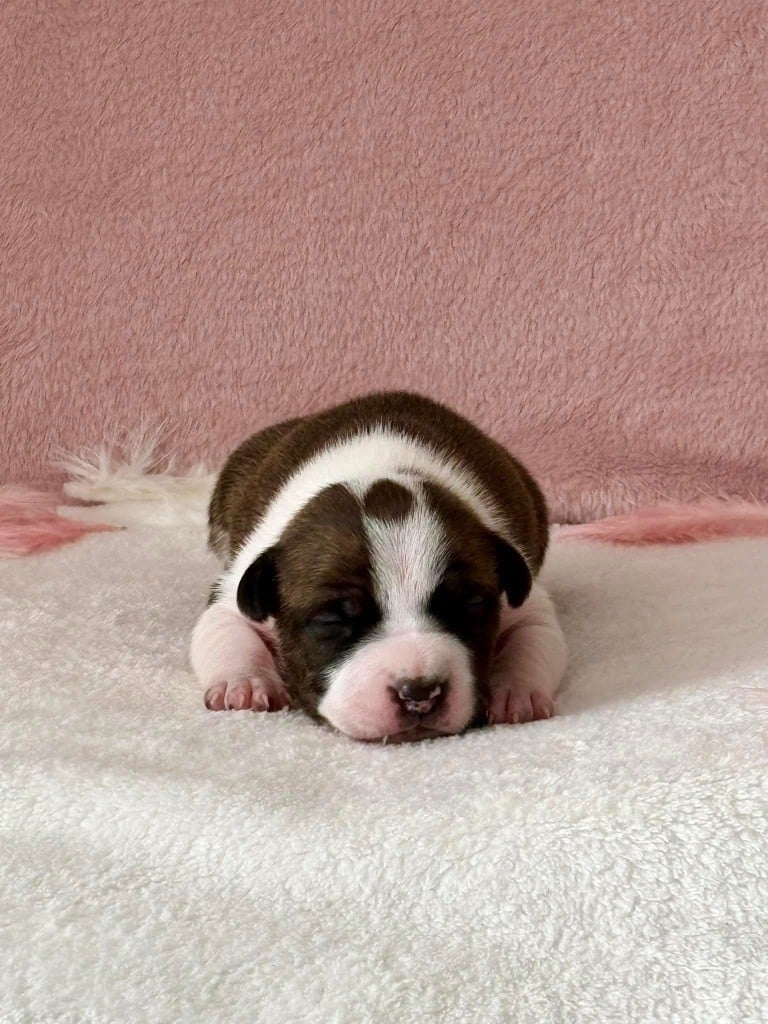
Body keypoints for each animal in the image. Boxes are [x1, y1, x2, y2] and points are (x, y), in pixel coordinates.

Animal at [190, 392, 567, 742]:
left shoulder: (525, 602)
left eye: (471, 606)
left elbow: (534, 638)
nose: (420, 693)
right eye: (331, 620)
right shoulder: (234, 592)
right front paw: (244, 682)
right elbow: (225, 631)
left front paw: (515, 690)